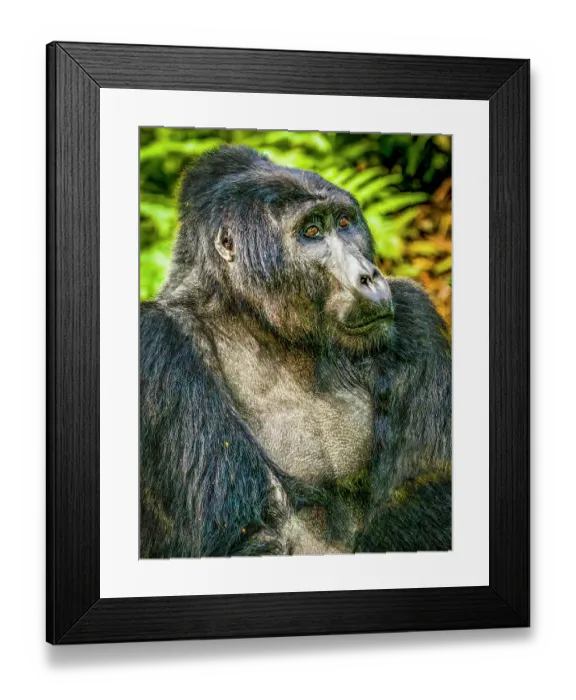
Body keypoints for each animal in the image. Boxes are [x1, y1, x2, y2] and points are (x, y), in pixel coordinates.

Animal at [140, 145, 451, 558]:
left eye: (345, 223)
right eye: (312, 232)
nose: (369, 276)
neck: (253, 320)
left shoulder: (414, 316)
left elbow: (429, 485)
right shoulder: (158, 346)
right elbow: (249, 536)